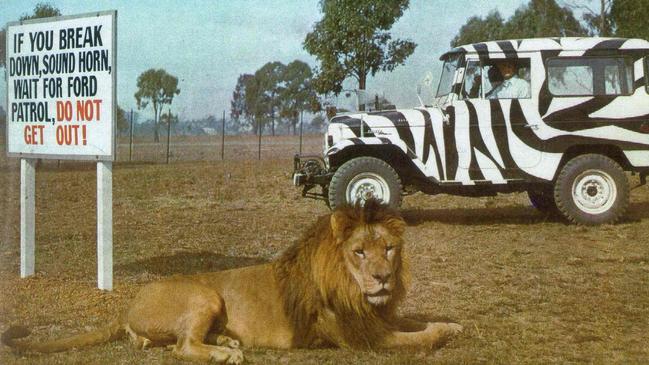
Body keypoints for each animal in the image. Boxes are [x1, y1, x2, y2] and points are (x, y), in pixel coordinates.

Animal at [2, 200, 464, 362]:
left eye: (388, 249)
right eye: (360, 253)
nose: (383, 279)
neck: (355, 291)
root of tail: (126, 306)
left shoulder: (379, 318)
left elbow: (415, 321)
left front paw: (454, 323)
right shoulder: (362, 338)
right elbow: (418, 337)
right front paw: (443, 333)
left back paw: (224, 340)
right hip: (205, 295)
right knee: (183, 347)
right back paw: (226, 353)